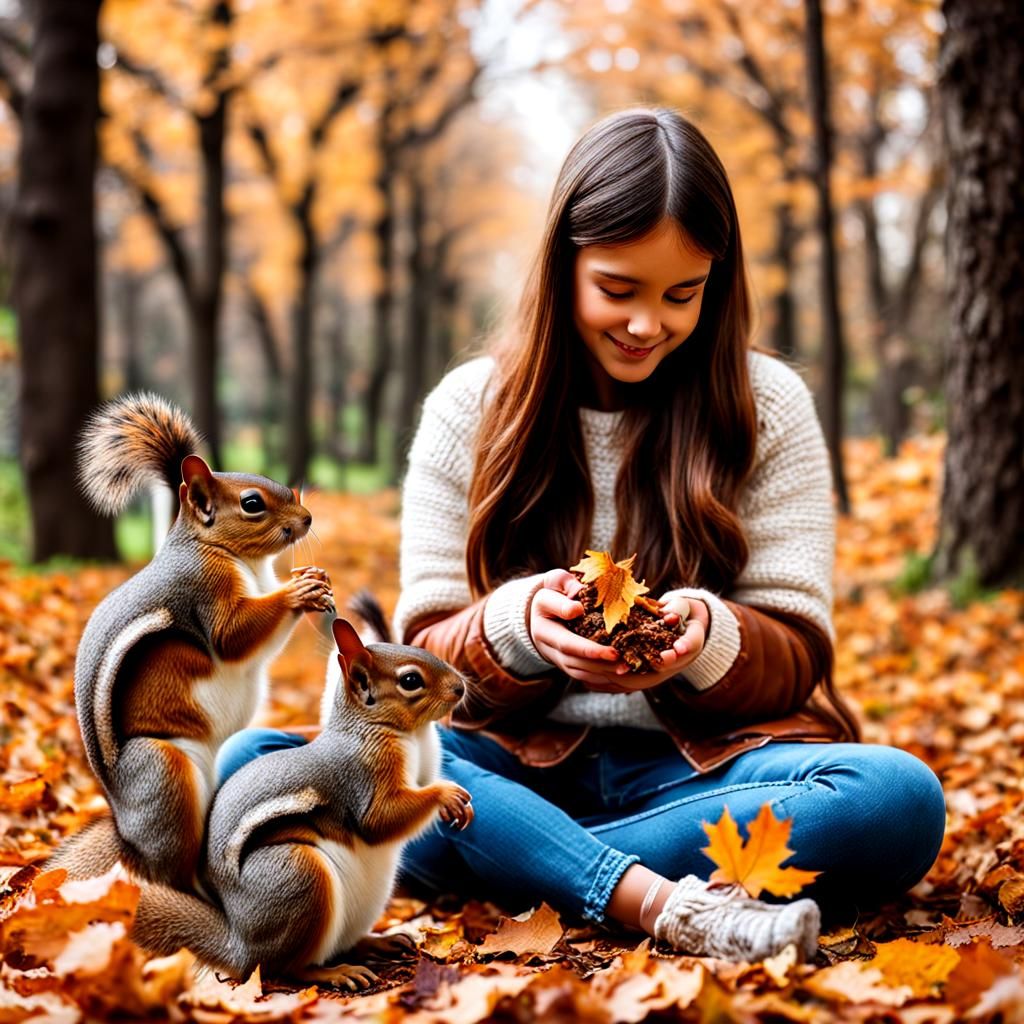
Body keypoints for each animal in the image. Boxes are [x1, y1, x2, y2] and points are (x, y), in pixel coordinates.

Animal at [50, 392, 334, 891]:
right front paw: (297, 591)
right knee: (171, 869)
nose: (307, 518)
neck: (237, 558)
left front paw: (312, 579)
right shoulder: (204, 590)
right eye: (253, 503)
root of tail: (129, 836)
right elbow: (234, 635)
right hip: (166, 776)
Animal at [131, 605, 473, 990]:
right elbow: (381, 819)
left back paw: (378, 942)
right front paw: (446, 795)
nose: (460, 687)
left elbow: (425, 783)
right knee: (285, 967)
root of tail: (241, 946)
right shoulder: (364, 778)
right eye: (411, 680)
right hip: (299, 876)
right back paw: (335, 972)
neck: (407, 734)